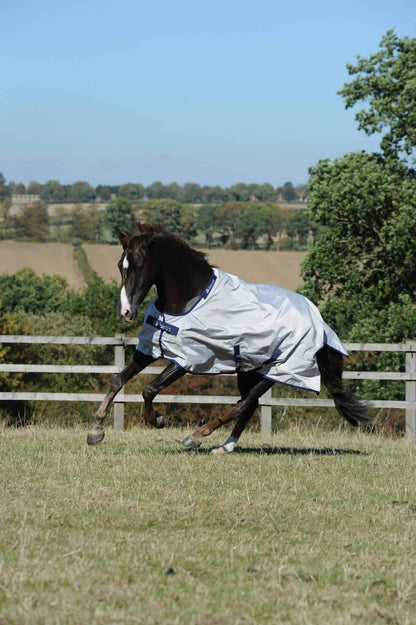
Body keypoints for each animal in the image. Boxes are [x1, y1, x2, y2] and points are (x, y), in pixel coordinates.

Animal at [87, 222, 370, 450]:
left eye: (139, 265)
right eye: (120, 265)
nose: (126, 312)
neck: (189, 300)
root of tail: (319, 322)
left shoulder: (187, 360)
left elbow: (149, 389)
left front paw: (157, 419)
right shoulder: (151, 349)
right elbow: (118, 380)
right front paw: (95, 431)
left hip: (276, 371)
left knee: (243, 405)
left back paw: (196, 437)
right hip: (249, 370)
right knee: (248, 405)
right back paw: (225, 447)